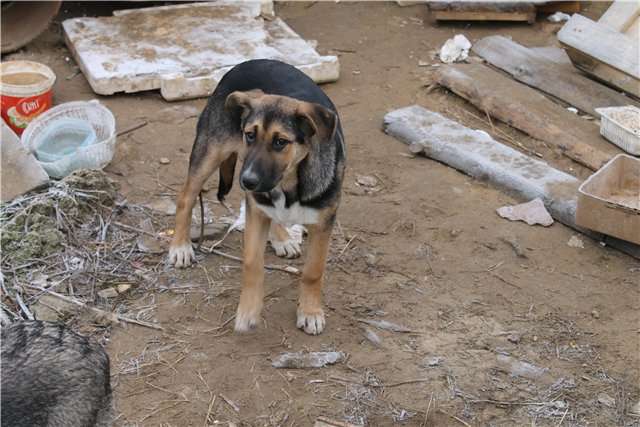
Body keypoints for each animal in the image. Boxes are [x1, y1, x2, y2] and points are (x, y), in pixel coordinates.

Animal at [166, 59, 344, 334]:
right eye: (249, 135)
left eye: (281, 142)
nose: (247, 181)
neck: (289, 183)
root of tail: (247, 62)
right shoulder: (255, 208)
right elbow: (252, 262)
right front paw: (248, 311)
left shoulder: (324, 222)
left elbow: (313, 271)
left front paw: (310, 312)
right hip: (210, 151)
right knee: (186, 196)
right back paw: (180, 247)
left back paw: (282, 238)